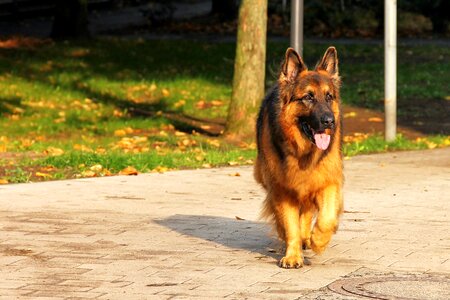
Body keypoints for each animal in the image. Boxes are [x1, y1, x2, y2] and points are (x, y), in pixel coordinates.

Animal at [255, 47, 342, 270]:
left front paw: (317, 240)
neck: (303, 152)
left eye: (329, 97)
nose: (329, 121)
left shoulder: (328, 181)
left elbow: (326, 218)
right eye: (308, 97)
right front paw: (293, 255)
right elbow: (290, 226)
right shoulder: (282, 189)